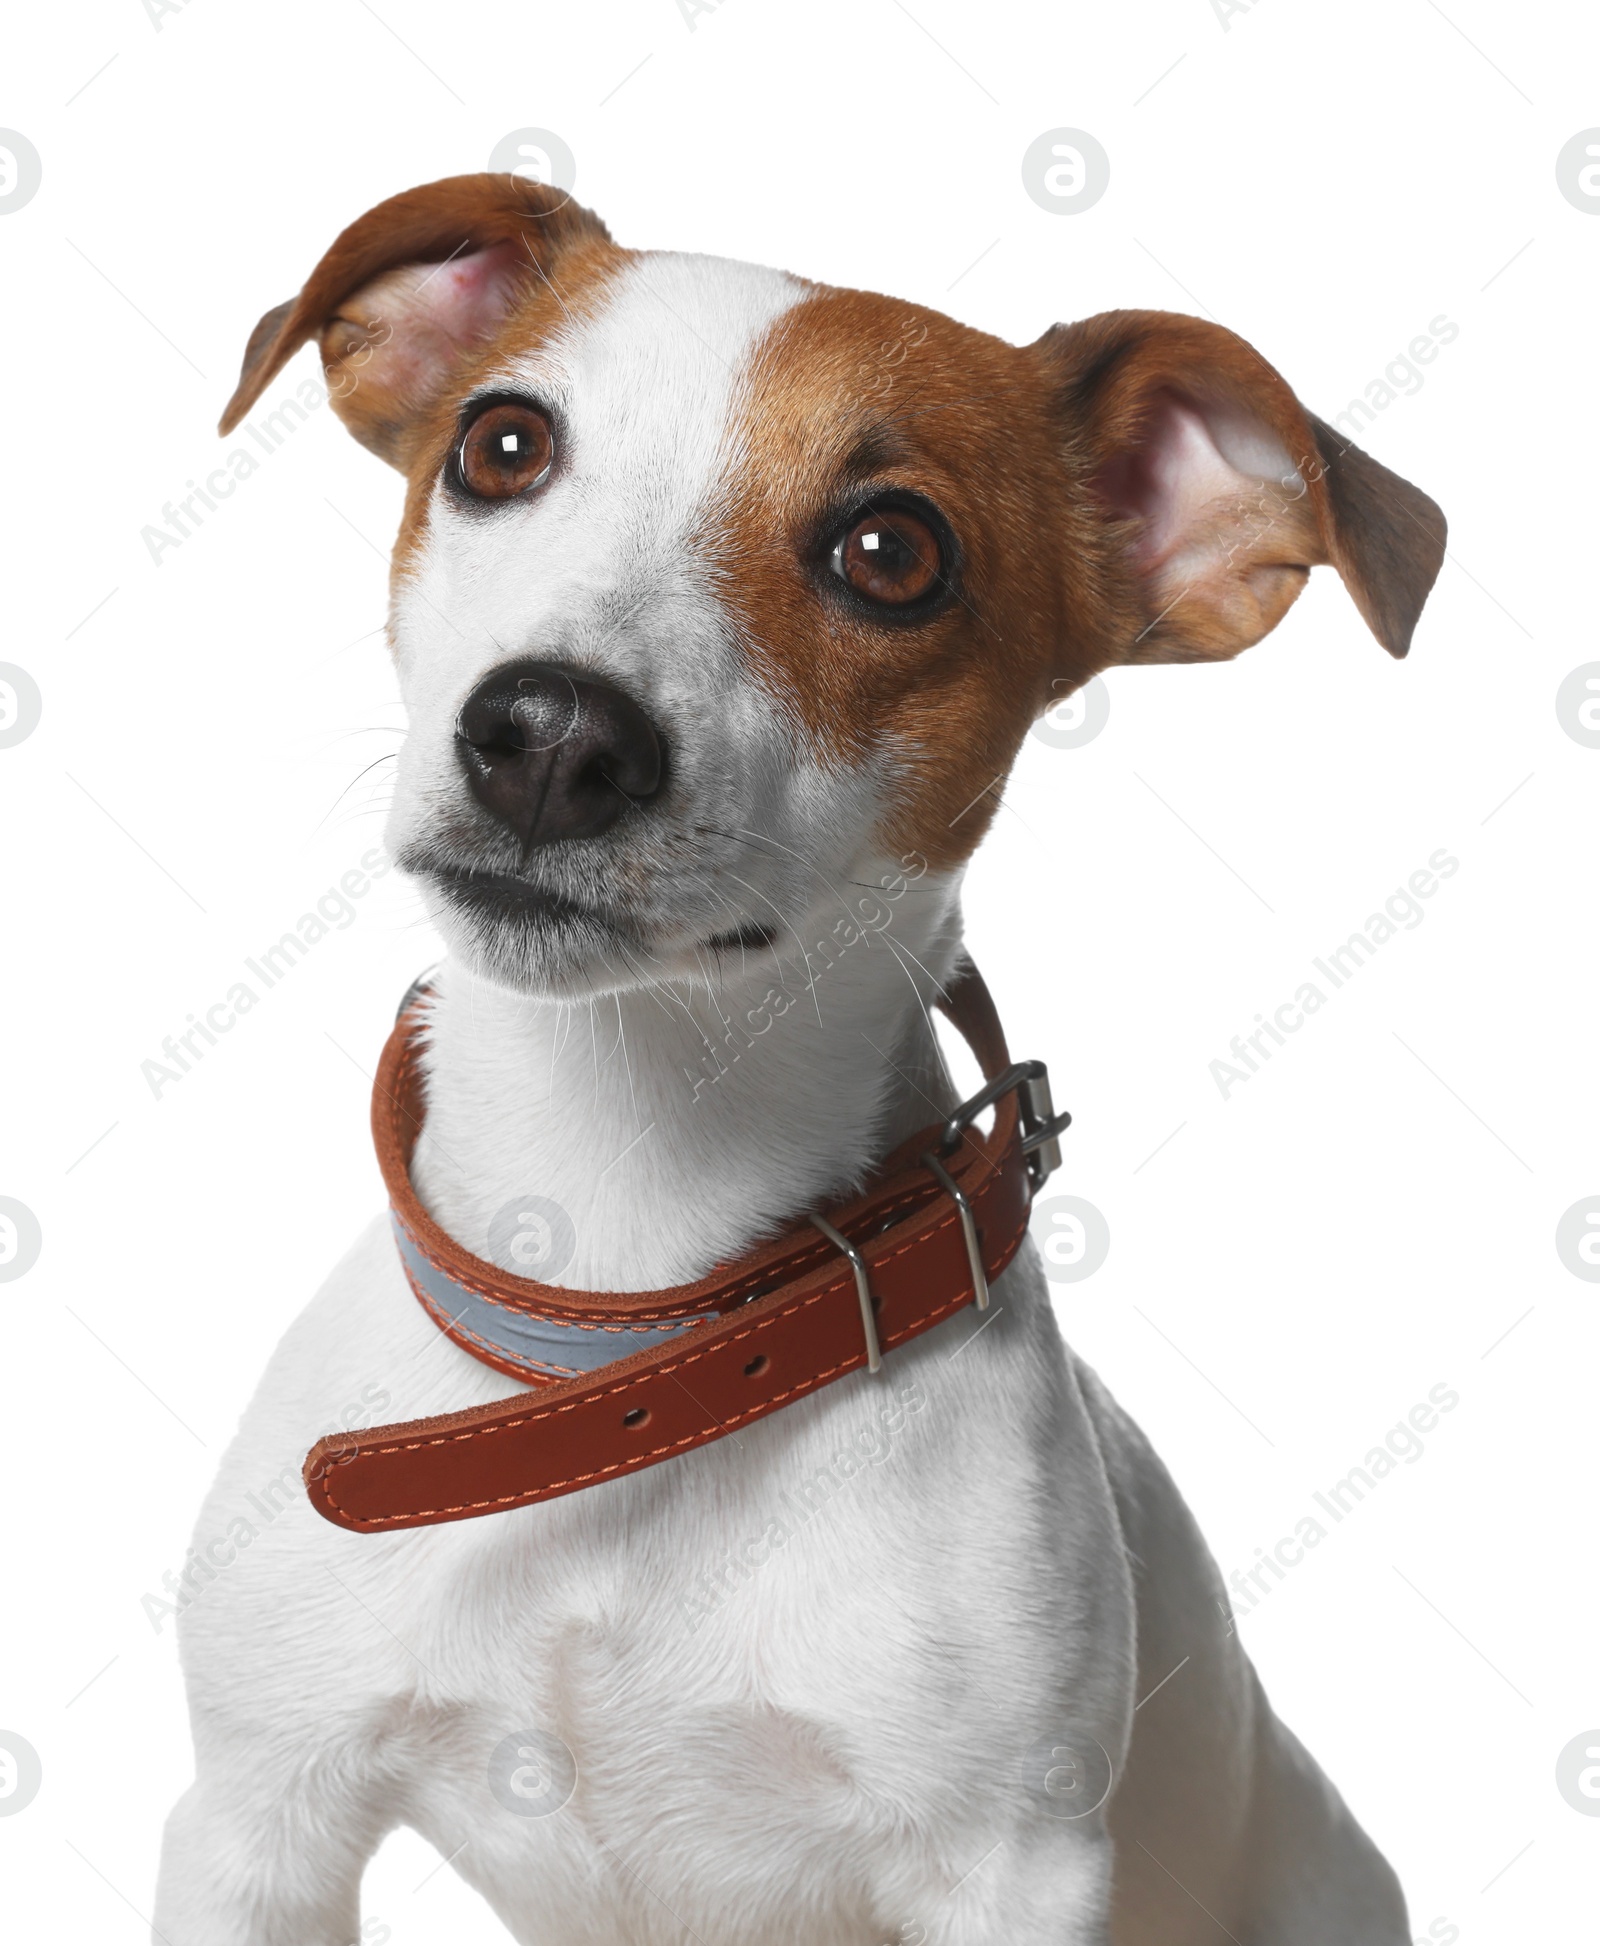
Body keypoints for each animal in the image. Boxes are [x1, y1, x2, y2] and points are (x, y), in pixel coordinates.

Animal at [153, 175, 1455, 1938]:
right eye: (503, 443)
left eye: (892, 552)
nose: (550, 734)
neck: (625, 1323)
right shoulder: (253, 1821)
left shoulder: (1008, 1869)